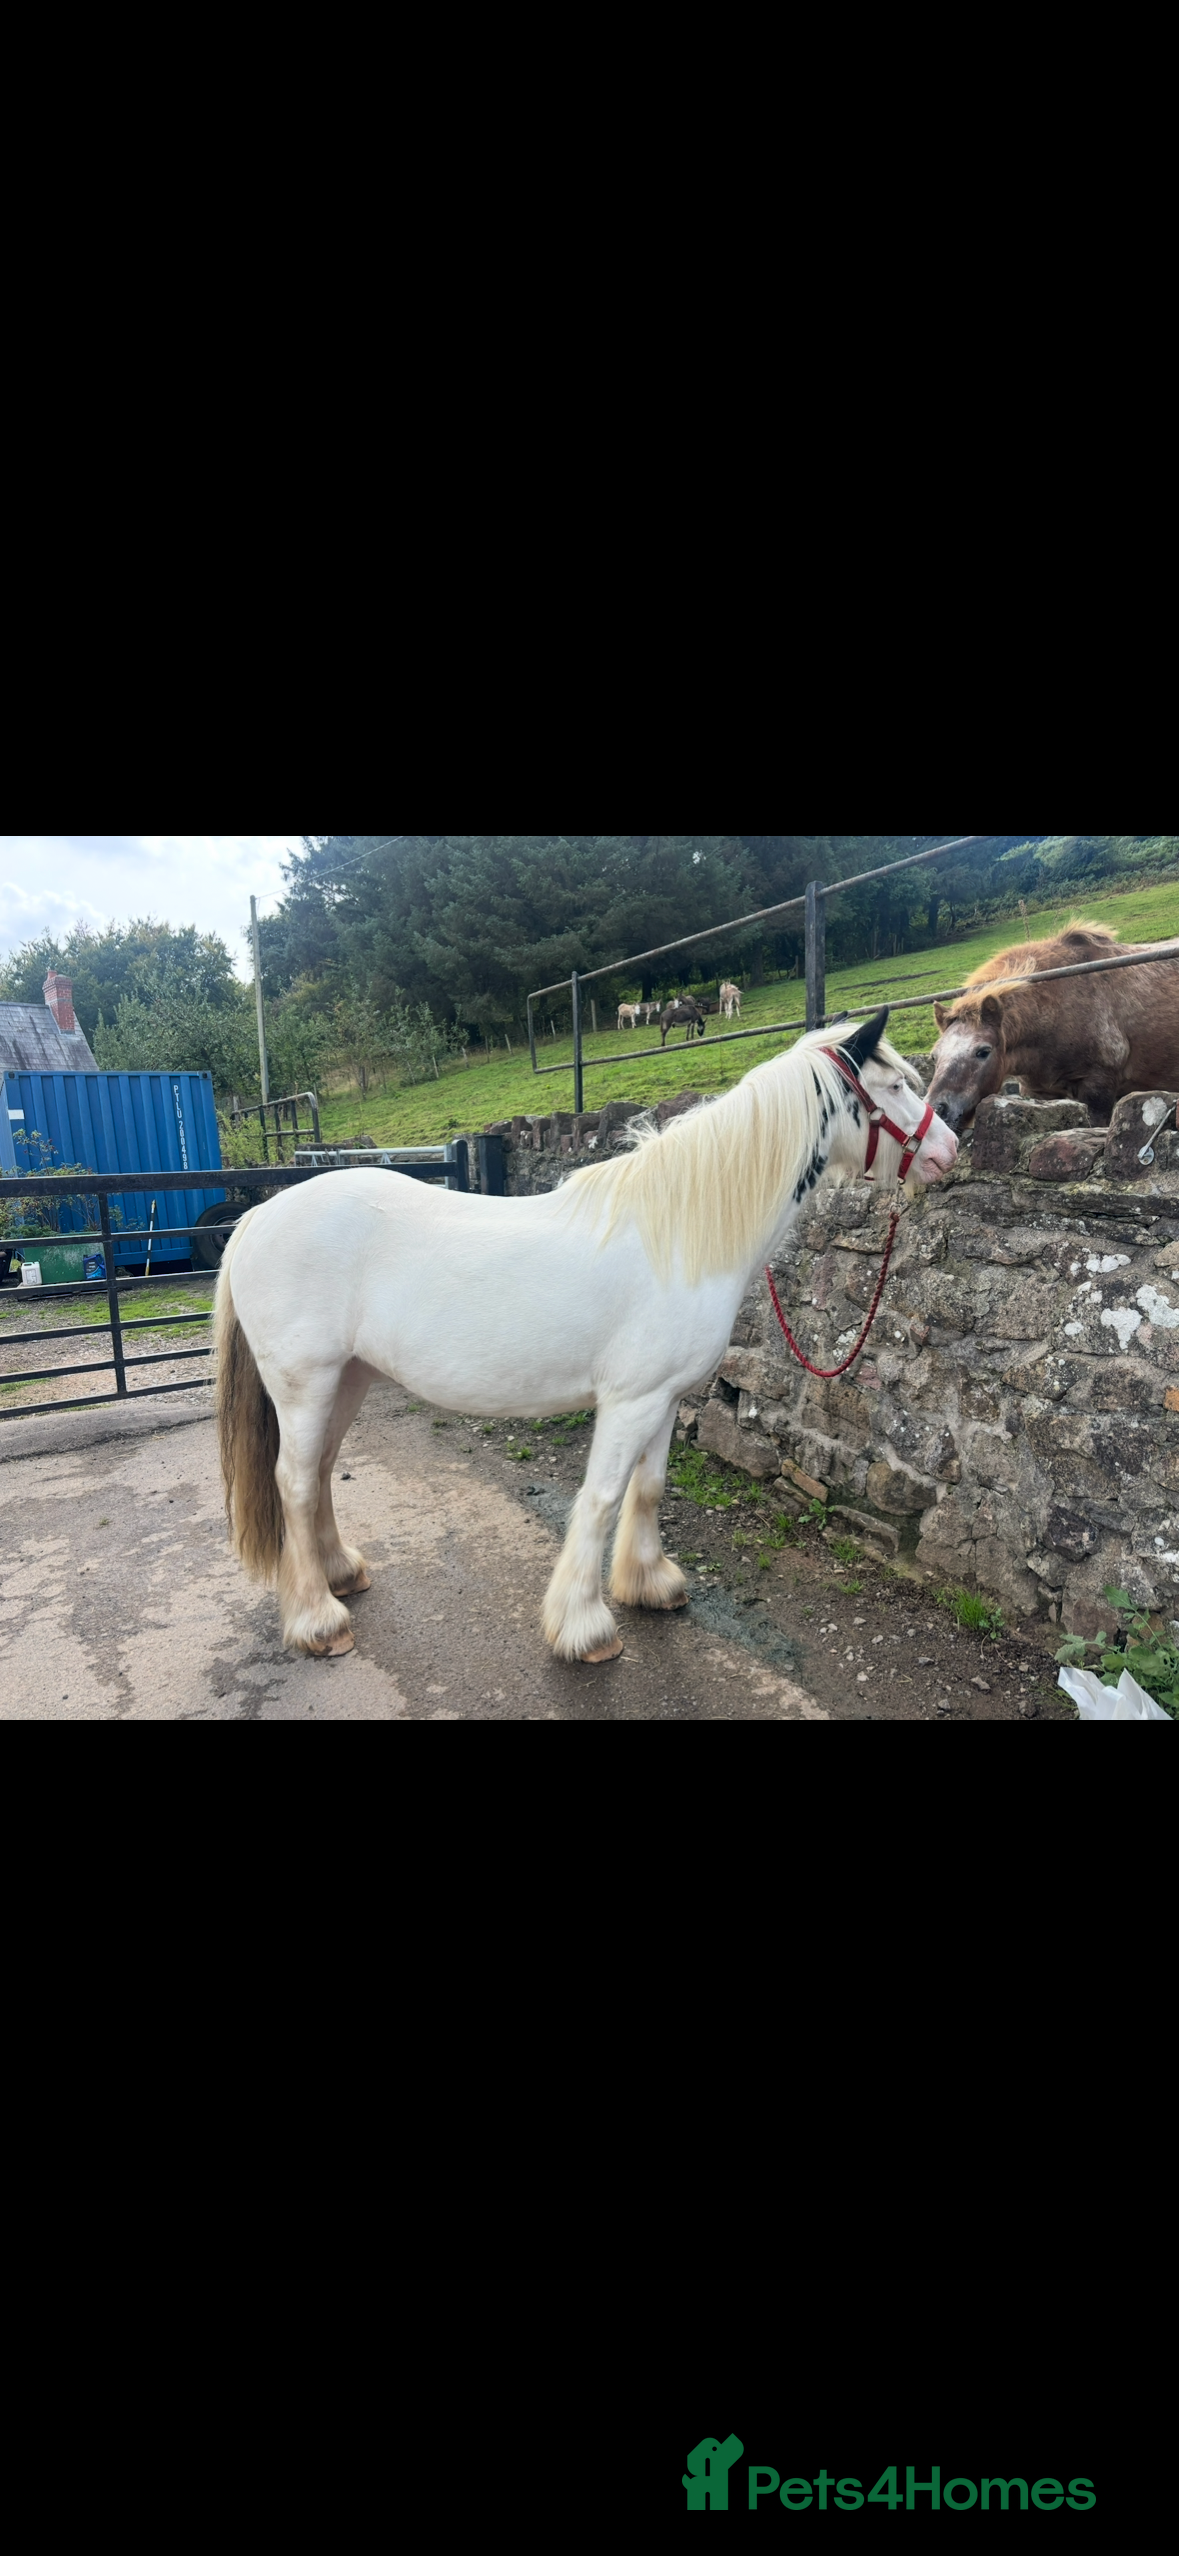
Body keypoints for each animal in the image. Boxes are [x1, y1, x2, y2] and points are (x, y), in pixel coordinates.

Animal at [213, 1008, 956, 1667]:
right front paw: (585, 1627)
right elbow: (599, 1502)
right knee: (294, 1482)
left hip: (349, 1379)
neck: (679, 1234)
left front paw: (650, 1583)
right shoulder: (630, 1401)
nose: (948, 1150)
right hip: (306, 1385)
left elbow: (648, 1489)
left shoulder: (665, 1398)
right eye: (895, 1086)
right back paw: (318, 1620)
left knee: (317, 1473)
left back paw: (341, 1572)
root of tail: (257, 1218)